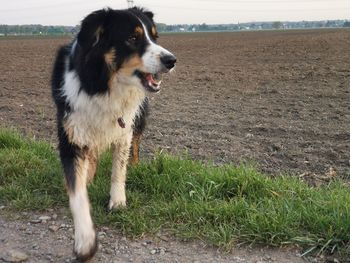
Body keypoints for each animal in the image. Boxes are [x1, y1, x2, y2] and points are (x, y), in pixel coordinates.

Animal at [50, 7, 176, 260]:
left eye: (154, 37)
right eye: (133, 38)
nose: (171, 60)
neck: (103, 86)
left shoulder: (124, 129)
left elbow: (119, 169)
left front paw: (117, 202)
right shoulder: (70, 136)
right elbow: (77, 192)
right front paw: (85, 241)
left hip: (139, 118)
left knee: (135, 144)